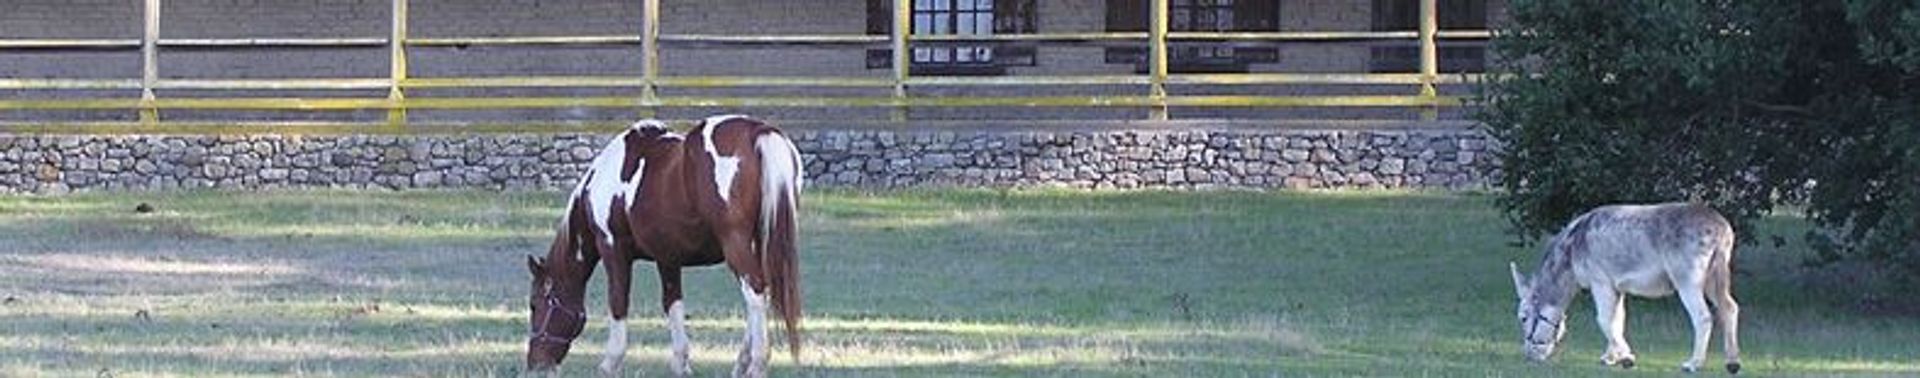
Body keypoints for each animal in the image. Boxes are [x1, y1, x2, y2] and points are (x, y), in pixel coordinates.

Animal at [526, 116, 802, 378]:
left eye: (535, 304)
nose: (535, 364)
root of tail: (759, 132)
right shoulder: (667, 257)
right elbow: (673, 303)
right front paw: (681, 363)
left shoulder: (613, 248)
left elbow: (618, 302)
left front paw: (610, 363)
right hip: (760, 242)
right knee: (763, 291)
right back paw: (741, 364)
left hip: (736, 244)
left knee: (755, 292)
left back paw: (756, 364)